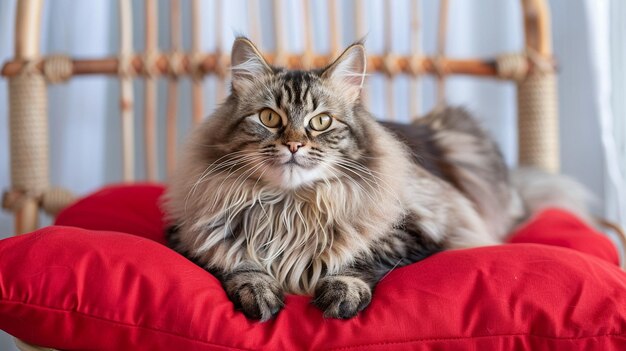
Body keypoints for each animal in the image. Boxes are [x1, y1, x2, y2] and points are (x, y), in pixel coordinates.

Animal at [162, 37, 588, 322]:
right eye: (269, 118)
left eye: (321, 122)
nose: (295, 145)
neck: (290, 207)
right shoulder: (192, 234)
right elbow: (239, 261)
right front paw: (259, 289)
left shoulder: (419, 230)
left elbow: (360, 257)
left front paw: (342, 291)